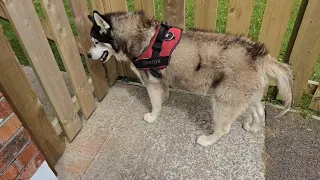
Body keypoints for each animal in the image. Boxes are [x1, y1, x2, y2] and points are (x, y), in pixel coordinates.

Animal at [87, 10, 292, 147]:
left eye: (96, 42)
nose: (88, 55)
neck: (139, 36)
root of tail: (261, 56)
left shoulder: (151, 81)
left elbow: (154, 104)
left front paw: (152, 116)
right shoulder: (160, 78)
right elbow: (163, 93)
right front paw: (165, 99)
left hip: (223, 99)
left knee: (224, 128)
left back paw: (207, 140)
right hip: (248, 95)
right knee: (259, 110)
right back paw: (252, 127)